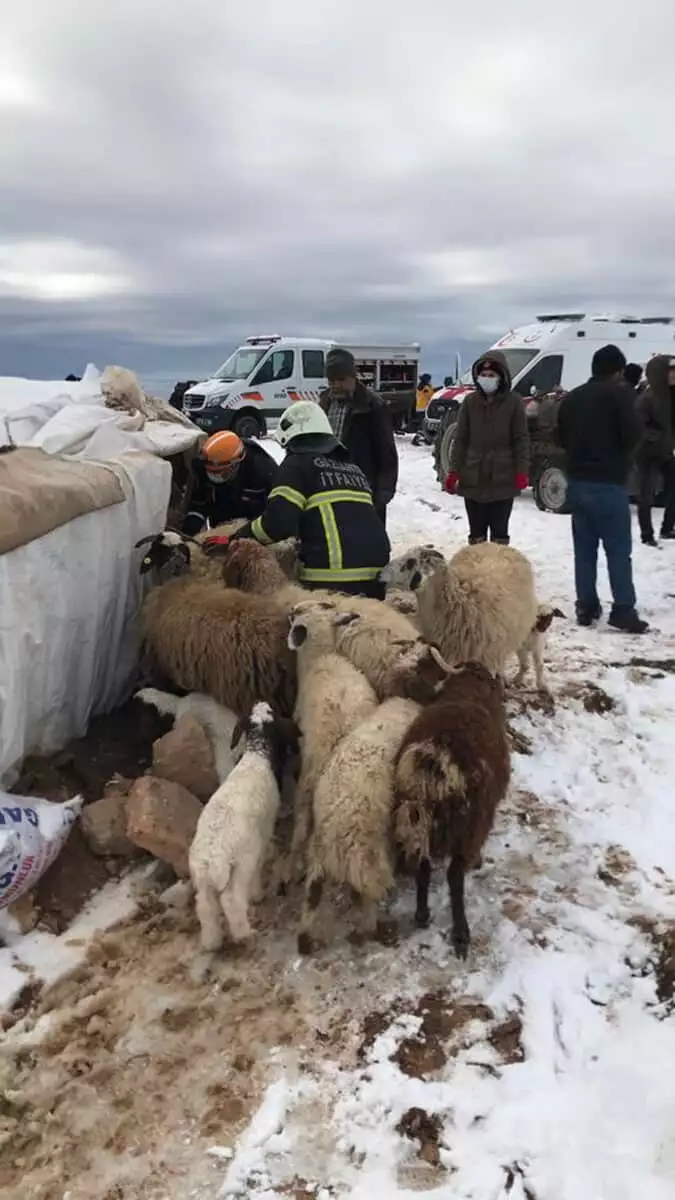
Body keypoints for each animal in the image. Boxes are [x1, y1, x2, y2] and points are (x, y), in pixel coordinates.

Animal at [186, 700, 296, 950]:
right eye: (274, 713)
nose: (263, 702)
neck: (257, 753)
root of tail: (212, 858)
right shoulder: (263, 834)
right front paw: (257, 895)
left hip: (203, 879)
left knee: (205, 906)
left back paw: (212, 942)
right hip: (241, 862)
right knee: (232, 900)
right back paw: (244, 934)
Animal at [295, 700, 417, 950]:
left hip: (320, 850)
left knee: (314, 889)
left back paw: (305, 938)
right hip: (369, 854)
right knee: (366, 893)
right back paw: (371, 930)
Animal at [391, 662, 506, 960]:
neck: (466, 692)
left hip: (417, 819)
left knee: (423, 866)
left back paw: (421, 914)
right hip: (469, 824)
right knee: (454, 876)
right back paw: (461, 933)